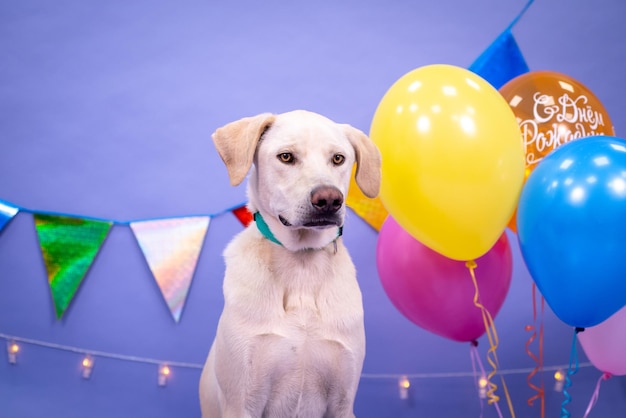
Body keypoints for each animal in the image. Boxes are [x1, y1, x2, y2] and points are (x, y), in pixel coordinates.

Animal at [200, 109, 380, 416]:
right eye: (286, 157)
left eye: (338, 158)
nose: (329, 199)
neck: (302, 266)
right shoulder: (241, 402)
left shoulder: (343, 403)